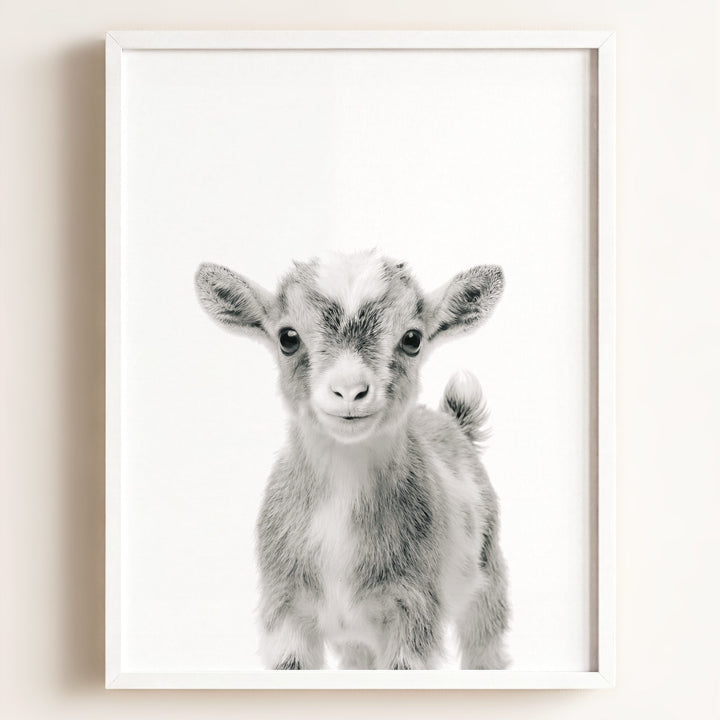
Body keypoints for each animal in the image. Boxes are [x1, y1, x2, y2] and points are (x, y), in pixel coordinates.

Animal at [195, 250, 509, 670]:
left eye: (412, 339)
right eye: (287, 338)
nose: (349, 391)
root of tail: (453, 422)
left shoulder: (413, 610)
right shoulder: (285, 612)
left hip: (488, 579)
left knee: (485, 644)